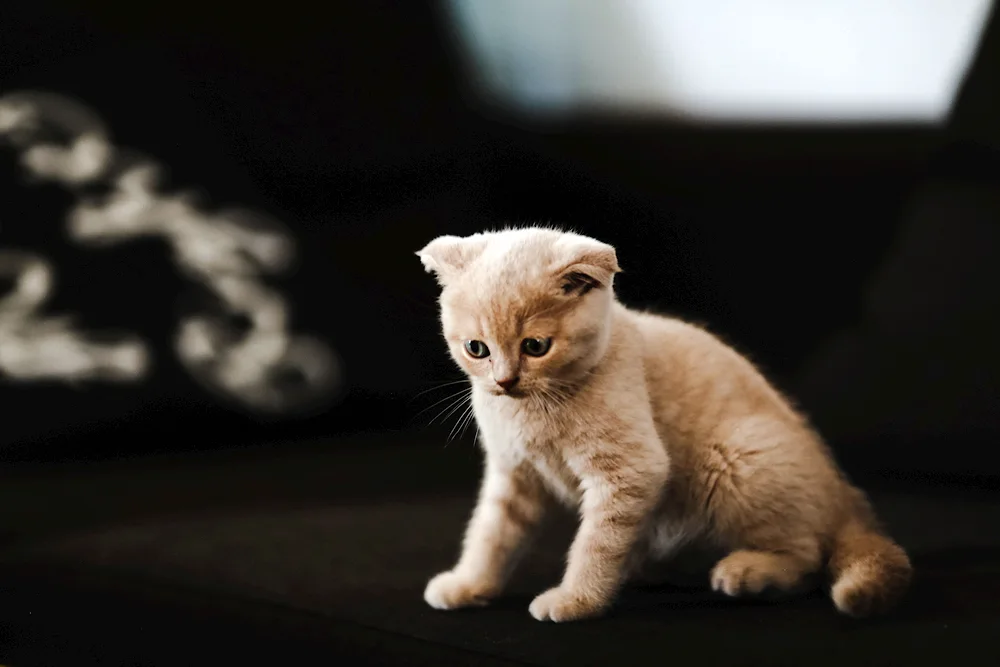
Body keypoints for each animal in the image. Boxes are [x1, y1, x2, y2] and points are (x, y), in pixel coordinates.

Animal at [418, 227, 912, 624]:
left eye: (536, 346)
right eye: (476, 348)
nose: (504, 381)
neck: (533, 411)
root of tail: (843, 493)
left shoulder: (632, 471)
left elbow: (595, 545)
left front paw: (576, 600)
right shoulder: (514, 473)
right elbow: (491, 533)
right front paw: (466, 584)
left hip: (736, 458)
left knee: (807, 554)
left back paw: (746, 573)